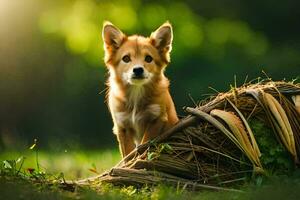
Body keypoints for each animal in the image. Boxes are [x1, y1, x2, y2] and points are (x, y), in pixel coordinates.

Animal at [102, 20, 179, 158]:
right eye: (126, 58)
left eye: (148, 58)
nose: (138, 70)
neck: (136, 94)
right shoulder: (122, 126)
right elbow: (127, 154)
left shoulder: (156, 119)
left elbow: (145, 144)